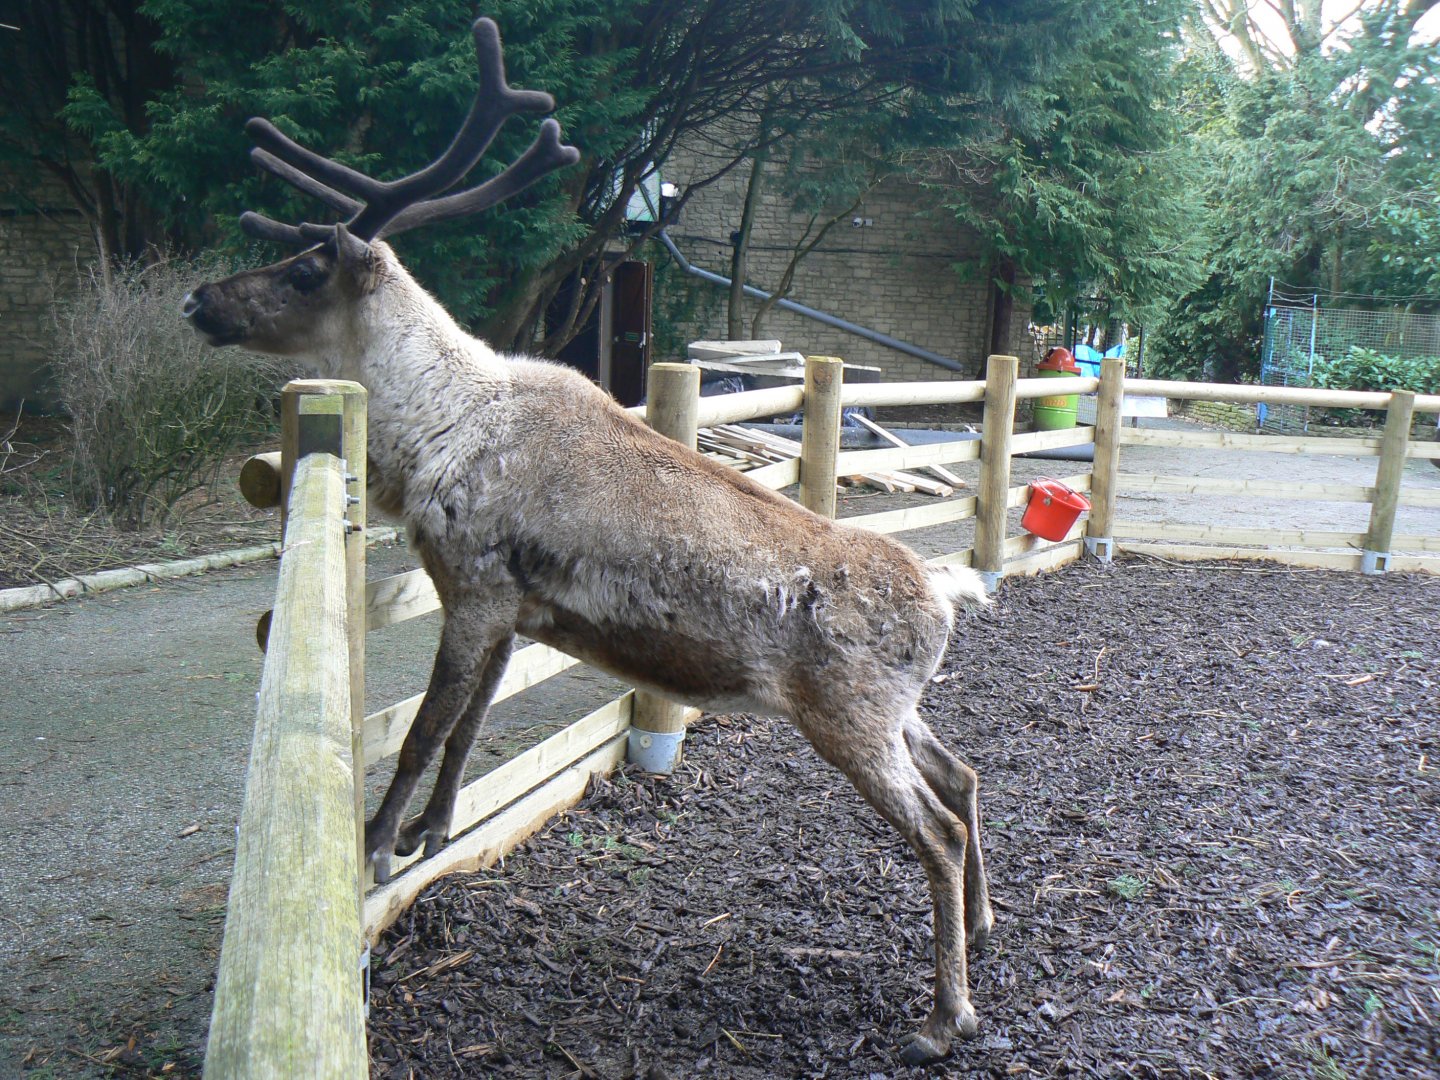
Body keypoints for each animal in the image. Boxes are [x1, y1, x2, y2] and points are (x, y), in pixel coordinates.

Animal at [182, 18, 994, 1066]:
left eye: (300, 270)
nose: (198, 299)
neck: (436, 430)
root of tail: (948, 595)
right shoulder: (518, 608)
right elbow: (469, 729)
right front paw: (434, 833)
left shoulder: (476, 585)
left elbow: (423, 730)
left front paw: (372, 842)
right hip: (896, 710)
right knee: (965, 775)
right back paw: (983, 929)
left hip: (847, 714)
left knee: (934, 827)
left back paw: (944, 1016)